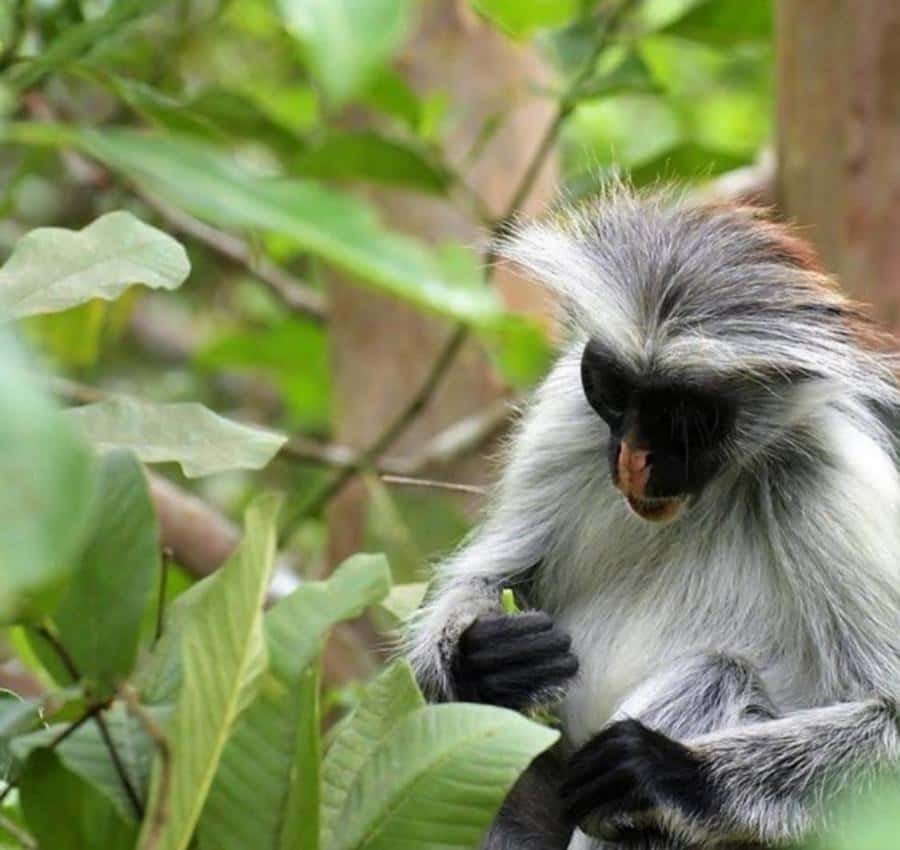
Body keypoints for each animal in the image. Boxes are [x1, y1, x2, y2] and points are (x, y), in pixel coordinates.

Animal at [405, 184, 900, 850]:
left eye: (685, 419)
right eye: (614, 389)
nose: (634, 462)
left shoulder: (832, 474)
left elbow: (889, 720)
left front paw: (670, 772)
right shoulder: (569, 411)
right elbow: (492, 577)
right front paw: (483, 656)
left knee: (716, 672)